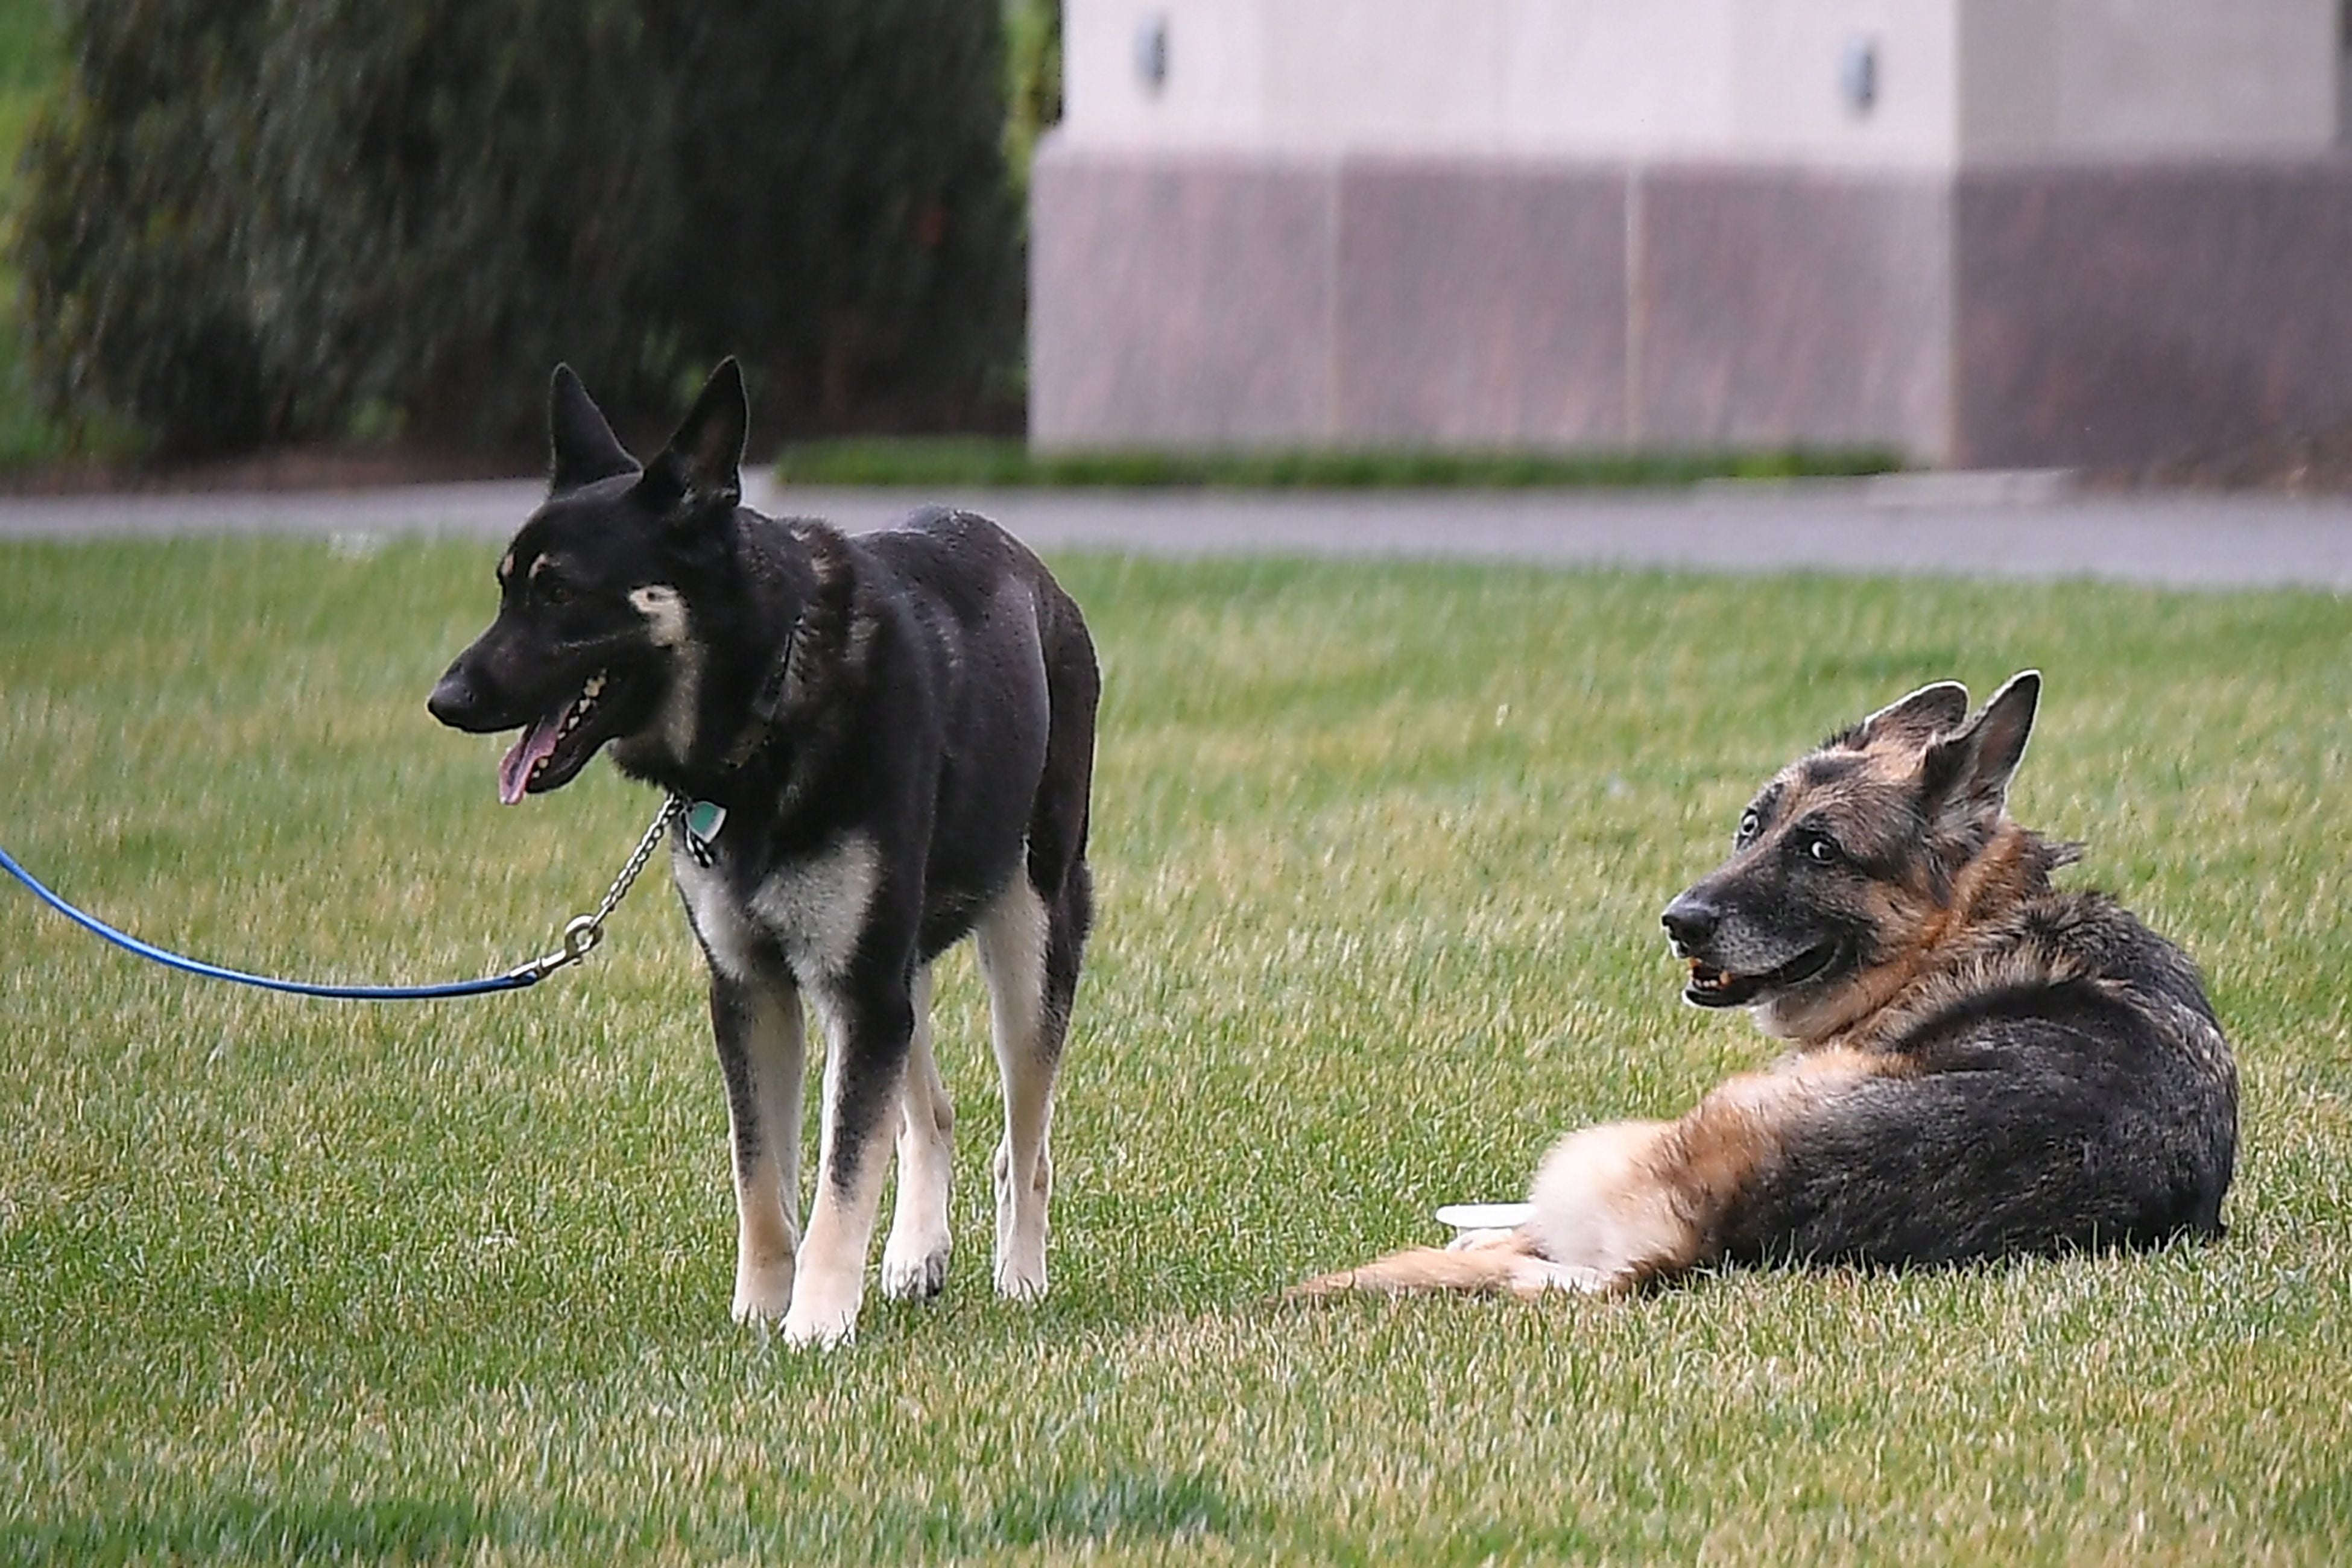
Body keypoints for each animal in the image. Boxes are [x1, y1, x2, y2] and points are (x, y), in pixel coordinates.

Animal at [430, 364, 1101, 1354]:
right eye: (506, 588)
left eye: (559, 594)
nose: (446, 699)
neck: (770, 701)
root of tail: (1036, 573)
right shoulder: (757, 992)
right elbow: (763, 1179)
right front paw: (761, 1308)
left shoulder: (857, 991)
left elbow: (841, 1176)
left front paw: (817, 1323)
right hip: (896, 965)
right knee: (931, 1112)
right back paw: (917, 1252)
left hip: (1028, 937)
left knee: (1028, 1141)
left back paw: (1021, 1275)